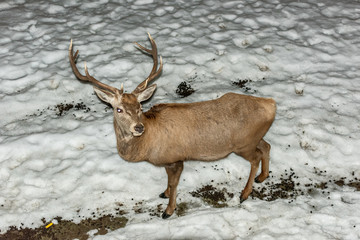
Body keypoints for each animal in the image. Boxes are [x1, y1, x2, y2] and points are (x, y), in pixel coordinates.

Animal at [68, 33, 276, 219]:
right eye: (118, 109)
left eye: (140, 107)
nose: (138, 128)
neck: (148, 145)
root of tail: (271, 105)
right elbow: (168, 181)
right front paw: (164, 193)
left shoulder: (175, 158)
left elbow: (174, 183)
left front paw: (168, 210)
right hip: (254, 138)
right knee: (266, 146)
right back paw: (262, 177)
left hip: (243, 143)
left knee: (255, 157)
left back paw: (245, 193)